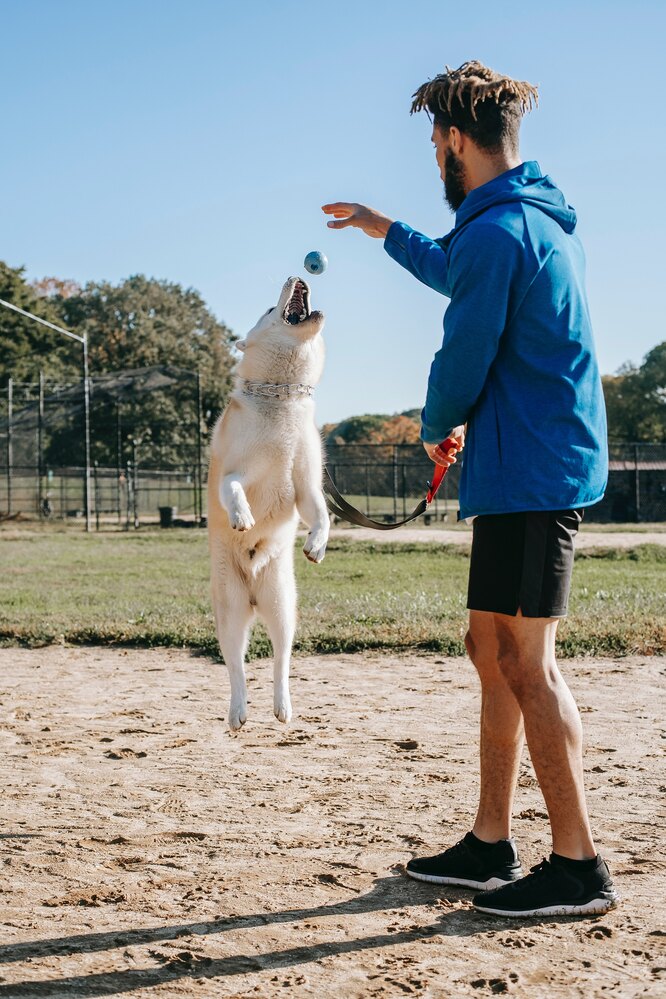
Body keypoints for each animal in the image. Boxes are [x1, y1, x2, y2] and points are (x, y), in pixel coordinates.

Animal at [208, 278, 326, 732]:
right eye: (266, 308)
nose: (297, 275)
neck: (283, 401)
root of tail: (255, 594)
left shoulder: (306, 488)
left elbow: (322, 514)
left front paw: (317, 544)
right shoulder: (234, 473)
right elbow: (233, 490)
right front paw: (242, 516)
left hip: (282, 609)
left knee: (281, 659)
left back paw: (282, 705)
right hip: (231, 611)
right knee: (236, 665)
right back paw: (238, 711)